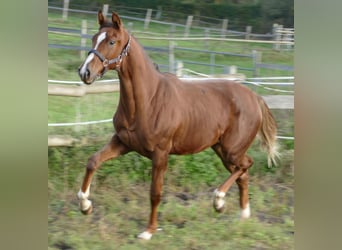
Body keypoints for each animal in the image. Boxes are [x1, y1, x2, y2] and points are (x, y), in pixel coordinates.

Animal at [77, 11, 278, 240]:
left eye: (111, 41)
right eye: (94, 38)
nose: (85, 72)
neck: (148, 100)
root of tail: (255, 97)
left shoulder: (160, 154)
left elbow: (155, 193)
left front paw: (148, 231)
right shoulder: (122, 143)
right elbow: (93, 161)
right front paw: (85, 206)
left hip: (232, 150)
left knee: (246, 165)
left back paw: (218, 201)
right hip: (222, 150)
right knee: (242, 175)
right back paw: (241, 215)